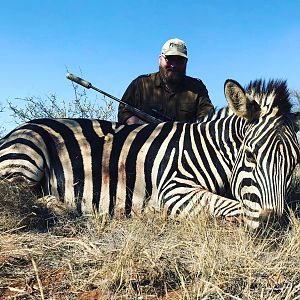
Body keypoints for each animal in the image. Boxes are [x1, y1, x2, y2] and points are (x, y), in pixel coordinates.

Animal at [0, 78, 298, 229]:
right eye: (250, 155)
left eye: (293, 164)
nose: (275, 225)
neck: (206, 150)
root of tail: (16, 131)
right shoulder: (173, 191)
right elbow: (233, 206)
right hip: (28, 157)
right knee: (17, 194)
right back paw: (61, 208)